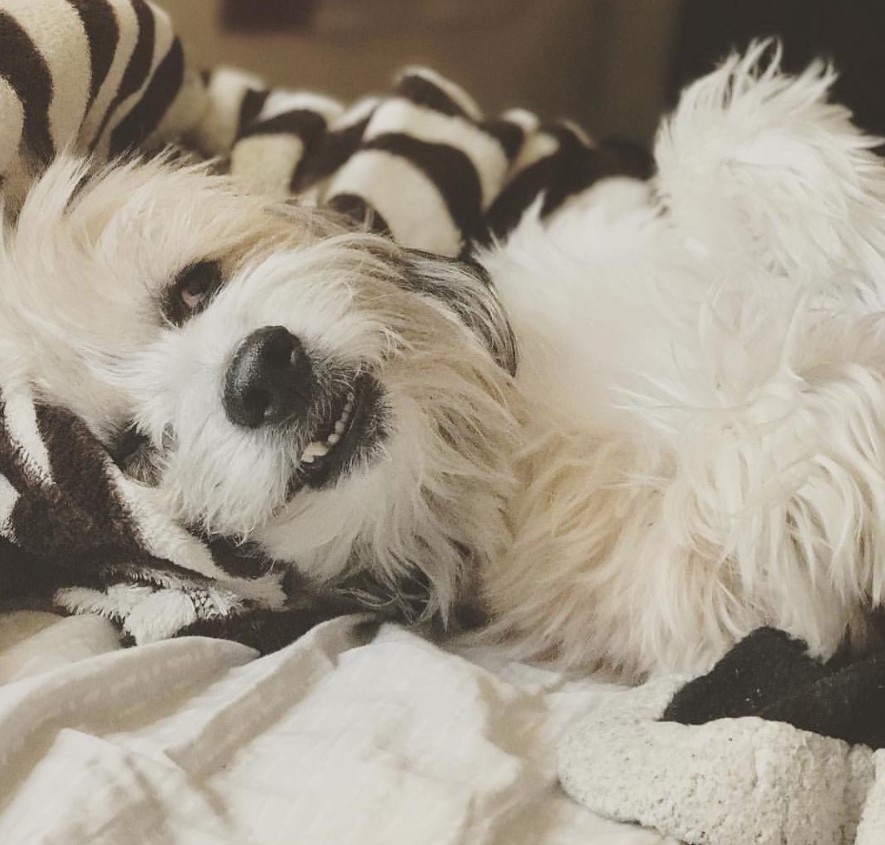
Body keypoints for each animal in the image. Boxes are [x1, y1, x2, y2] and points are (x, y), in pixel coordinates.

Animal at [5, 47, 884, 680]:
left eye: (194, 287)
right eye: (136, 452)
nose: (259, 375)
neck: (490, 438)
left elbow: (717, 143)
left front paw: (840, 215)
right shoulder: (679, 569)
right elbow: (766, 454)